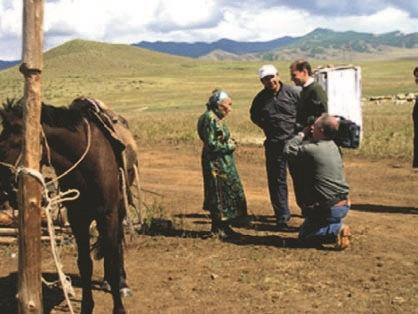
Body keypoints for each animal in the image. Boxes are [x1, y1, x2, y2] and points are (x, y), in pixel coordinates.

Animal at [0, 98, 134, 314]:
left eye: (11, 144)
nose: (4, 191)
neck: (88, 164)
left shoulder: (108, 214)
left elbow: (112, 258)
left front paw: (119, 307)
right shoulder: (78, 218)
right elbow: (85, 264)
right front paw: (87, 307)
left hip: (119, 209)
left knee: (117, 244)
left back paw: (122, 284)